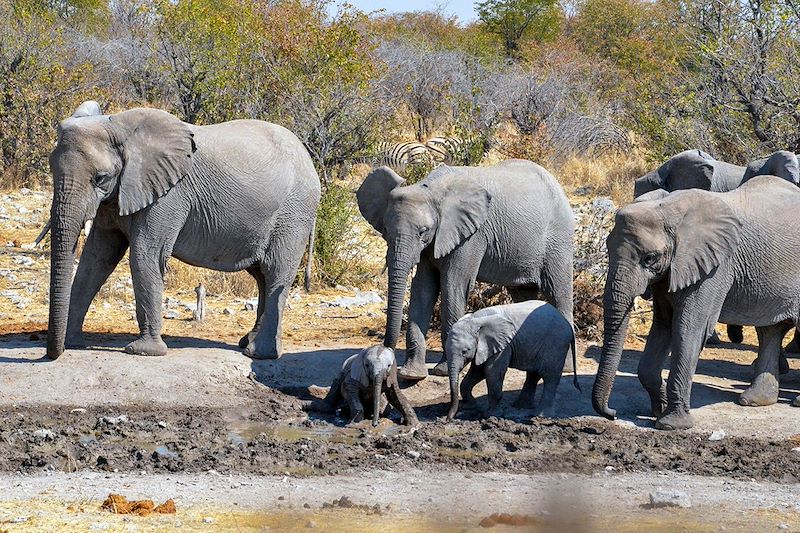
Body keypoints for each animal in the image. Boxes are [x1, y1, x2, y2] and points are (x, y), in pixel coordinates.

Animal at [46, 102, 318, 360]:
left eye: (101, 178)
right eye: (51, 169)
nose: (52, 354)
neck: (121, 128)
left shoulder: (169, 195)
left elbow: (145, 255)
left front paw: (143, 352)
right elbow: (97, 259)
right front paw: (72, 342)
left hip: (294, 214)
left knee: (276, 271)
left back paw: (259, 353)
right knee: (261, 275)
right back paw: (247, 342)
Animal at [356, 160, 576, 380]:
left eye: (422, 232)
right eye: (385, 230)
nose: (386, 356)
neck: (431, 188)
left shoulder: (471, 236)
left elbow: (454, 286)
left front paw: (443, 371)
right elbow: (423, 289)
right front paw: (411, 374)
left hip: (558, 239)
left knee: (558, 291)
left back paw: (562, 366)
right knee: (524, 293)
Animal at [444, 300, 580, 420]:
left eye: (465, 351)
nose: (449, 419)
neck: (475, 320)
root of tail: (568, 325)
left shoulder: (503, 345)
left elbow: (491, 371)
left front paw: (489, 415)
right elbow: (478, 371)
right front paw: (470, 406)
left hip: (556, 344)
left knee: (549, 377)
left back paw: (540, 415)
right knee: (534, 375)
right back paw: (521, 406)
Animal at [592, 177, 800, 430]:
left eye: (650, 258)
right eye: (607, 248)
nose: (612, 413)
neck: (668, 208)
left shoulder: (716, 267)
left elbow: (688, 328)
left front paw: (671, 424)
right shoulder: (672, 271)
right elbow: (663, 326)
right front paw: (658, 410)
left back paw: (795, 402)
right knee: (770, 330)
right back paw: (754, 400)